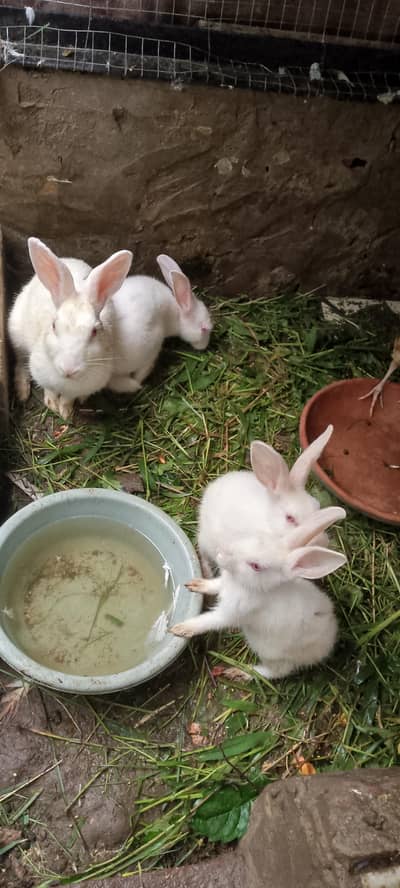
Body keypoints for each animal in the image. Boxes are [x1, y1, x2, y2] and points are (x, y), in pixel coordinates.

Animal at [8, 238, 133, 419]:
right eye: (54, 325)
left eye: (95, 331)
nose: (69, 369)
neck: (66, 381)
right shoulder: (42, 374)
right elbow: (49, 390)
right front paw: (52, 404)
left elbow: (68, 398)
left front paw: (65, 412)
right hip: (16, 333)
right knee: (20, 362)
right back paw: (22, 393)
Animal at [171, 506, 347, 680]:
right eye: (255, 538)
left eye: (256, 566)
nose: (222, 553)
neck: (242, 584)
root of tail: (328, 644)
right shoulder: (223, 584)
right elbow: (213, 586)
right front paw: (196, 584)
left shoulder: (230, 614)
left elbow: (208, 621)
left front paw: (180, 629)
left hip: (271, 653)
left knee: (276, 672)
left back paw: (239, 672)